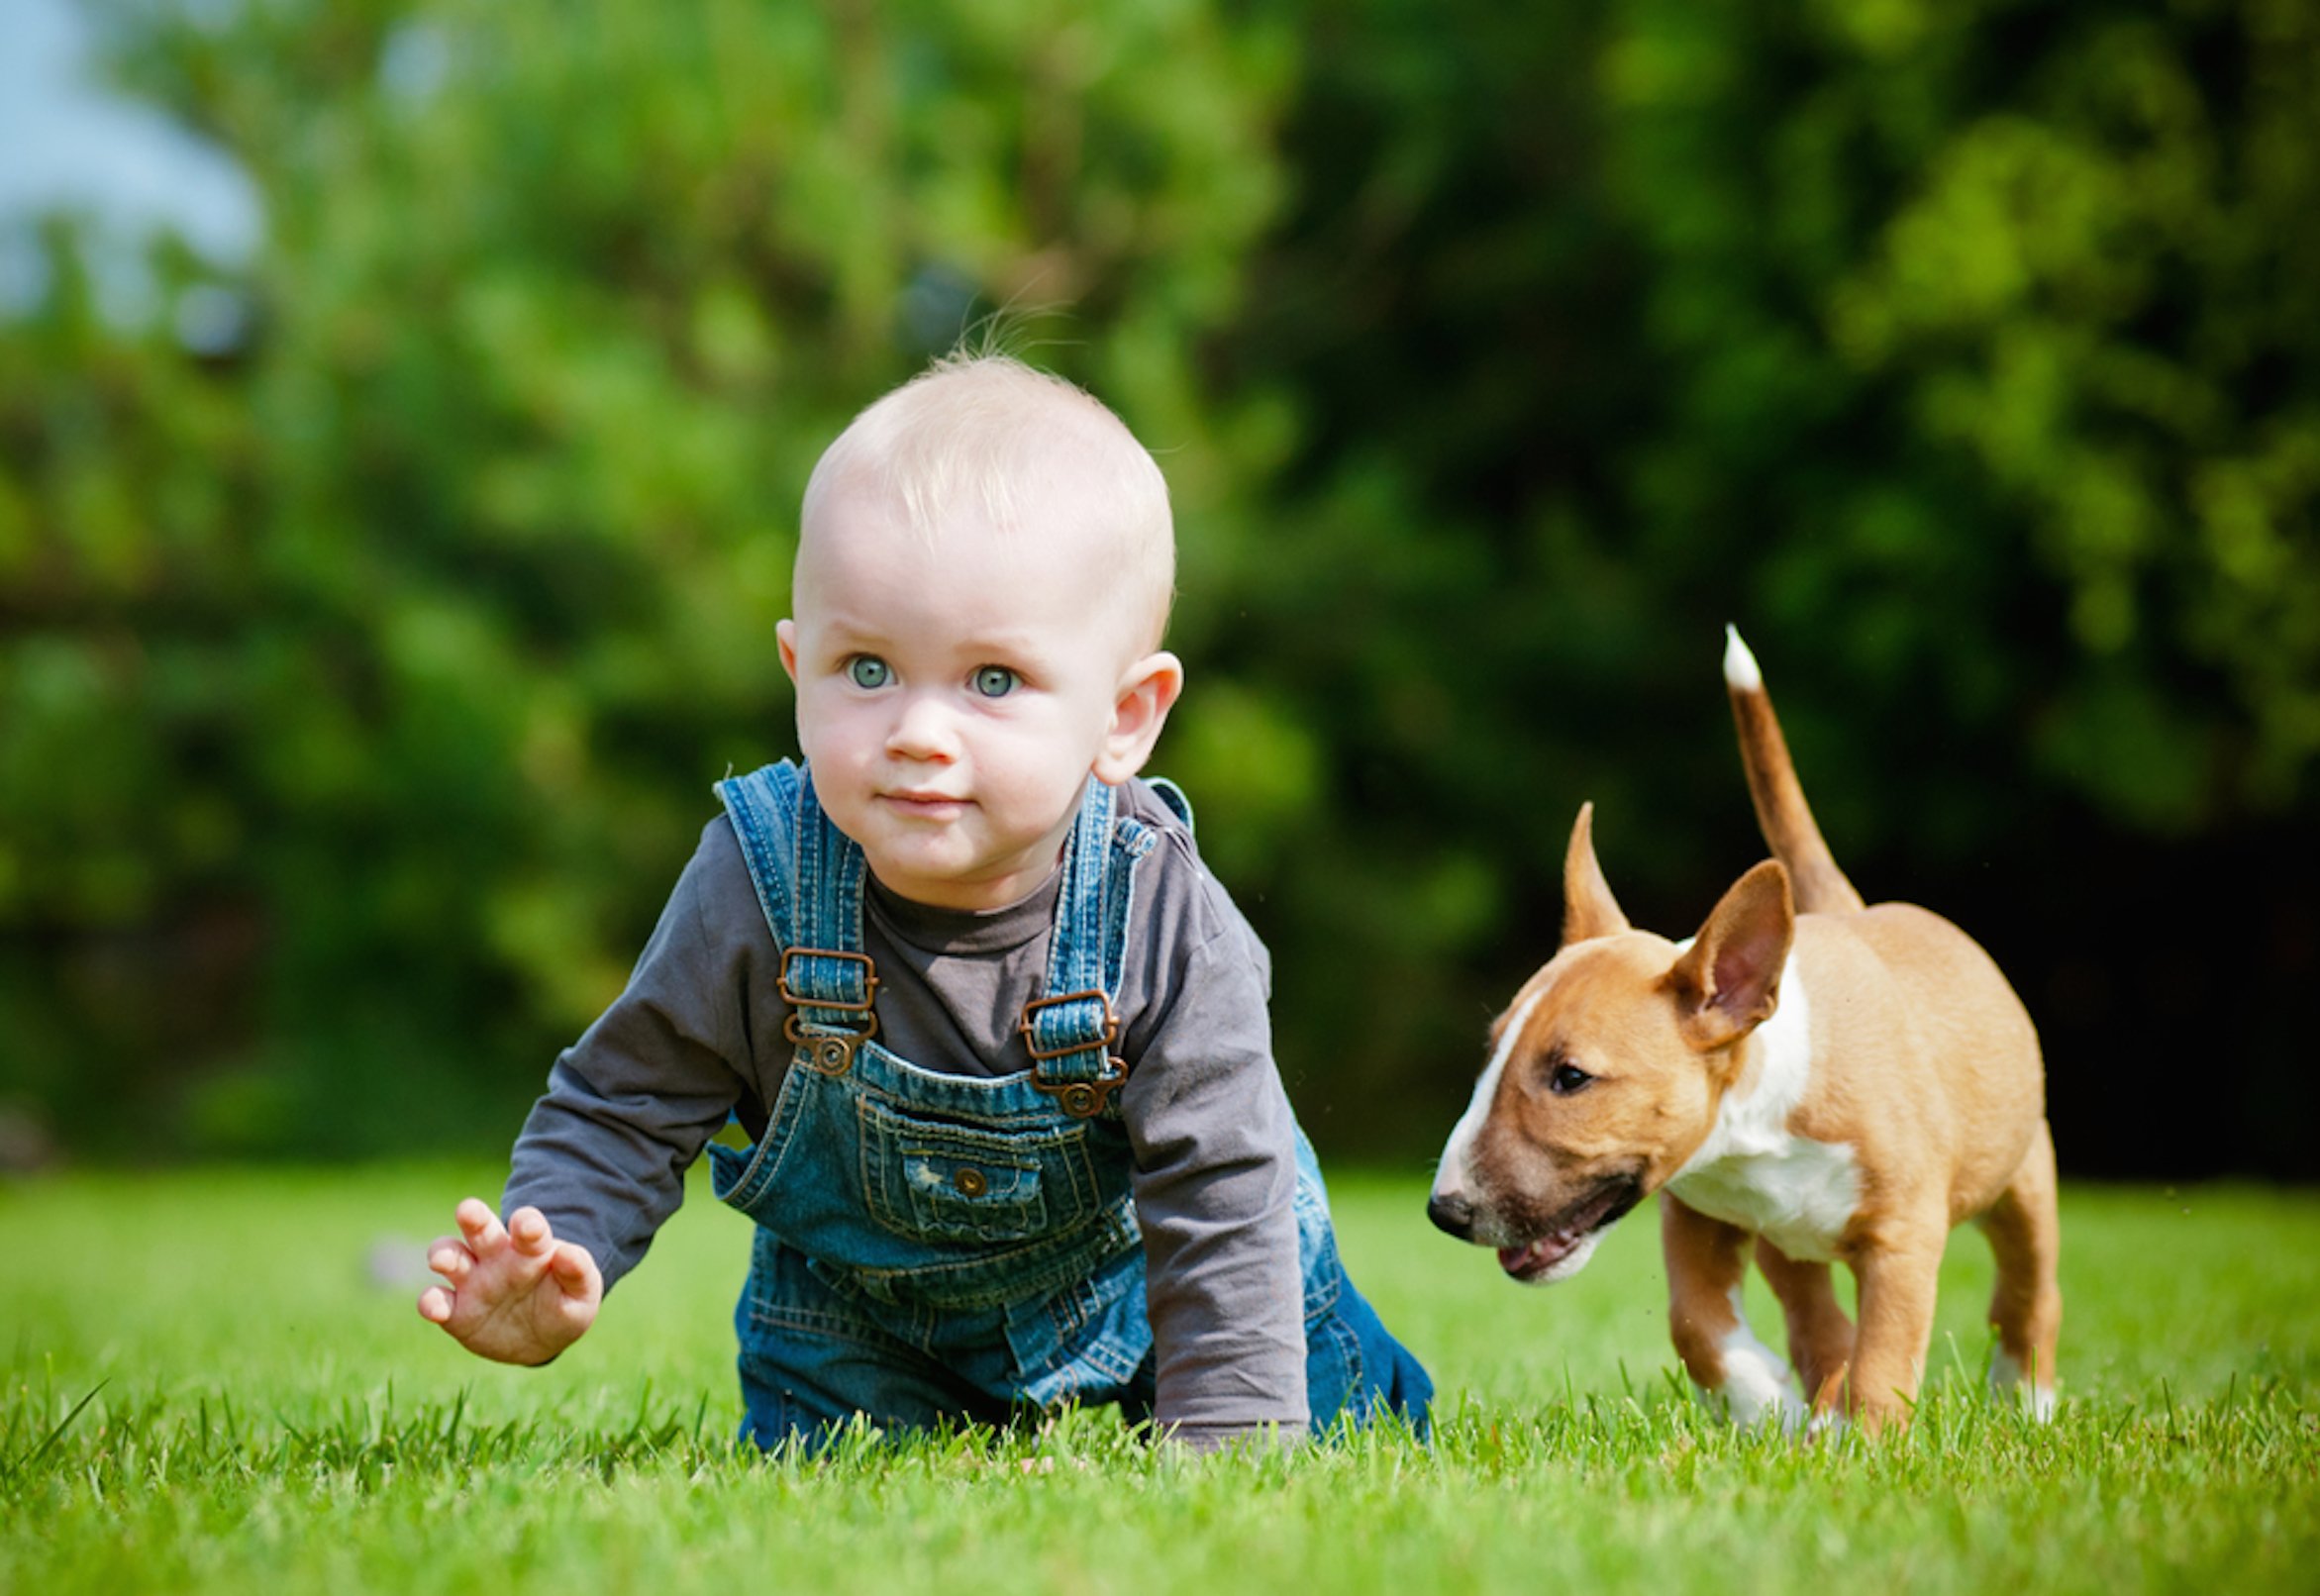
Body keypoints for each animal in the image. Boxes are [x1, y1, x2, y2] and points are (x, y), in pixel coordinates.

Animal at [1429, 626, 2068, 1438]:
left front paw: (1868, 1444)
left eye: (1570, 1077)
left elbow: (1886, 1356)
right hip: (1786, 1248)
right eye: (1490, 1056)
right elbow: (1694, 1323)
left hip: (2022, 1172)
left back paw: (2025, 1398)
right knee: (1816, 1317)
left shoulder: (1903, 1235)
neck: (1757, 1123)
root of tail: (1856, 906)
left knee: (2027, 1289)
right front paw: (1769, 1408)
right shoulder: (1698, 1217)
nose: (1445, 1212)